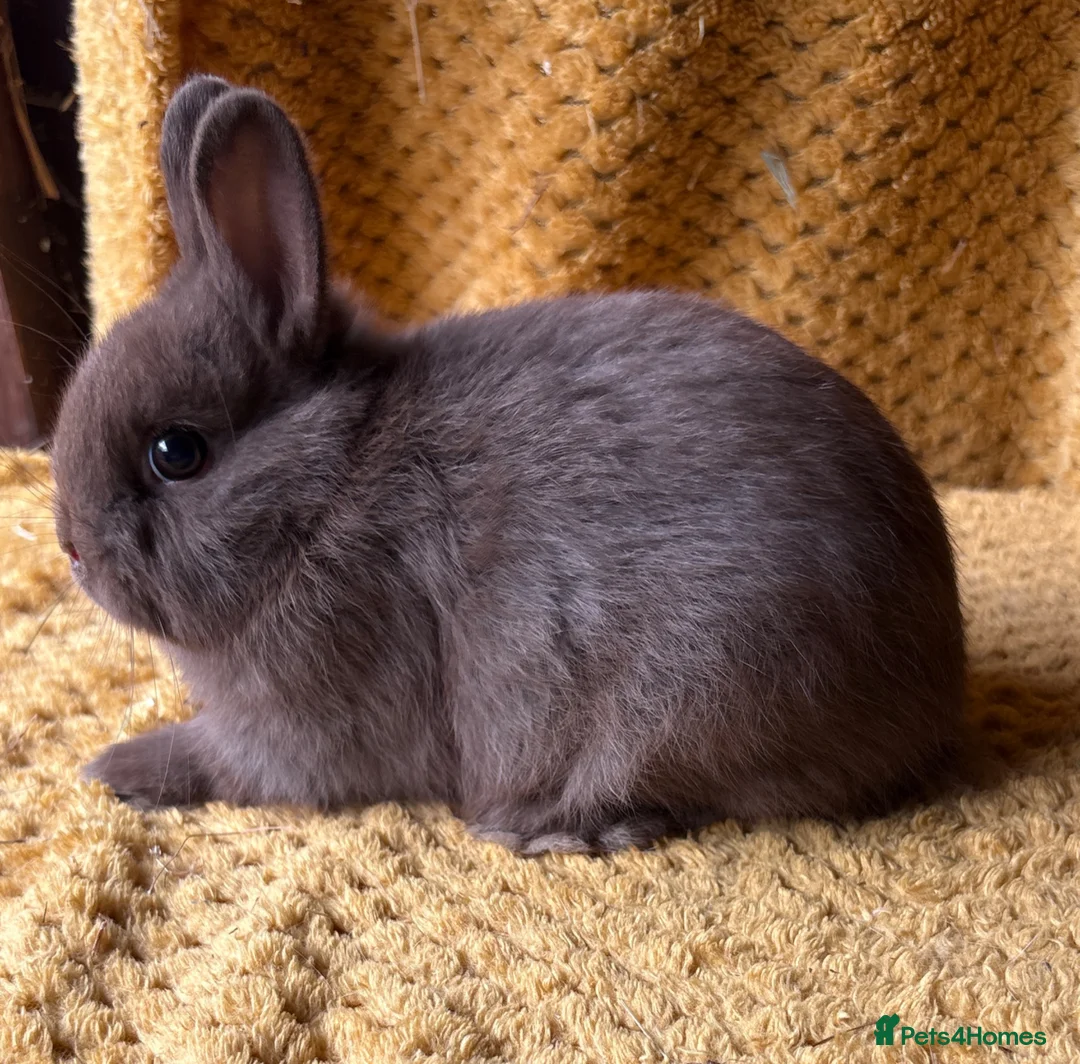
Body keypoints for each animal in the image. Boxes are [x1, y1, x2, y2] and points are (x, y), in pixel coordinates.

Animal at [50, 75, 965, 854]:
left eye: (177, 453)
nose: (72, 551)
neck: (327, 482)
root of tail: (934, 690)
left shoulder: (307, 719)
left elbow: (227, 761)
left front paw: (117, 768)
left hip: (695, 689)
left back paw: (555, 828)